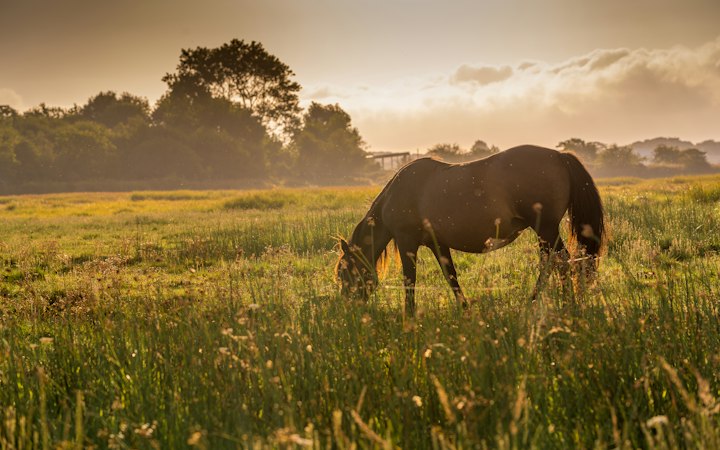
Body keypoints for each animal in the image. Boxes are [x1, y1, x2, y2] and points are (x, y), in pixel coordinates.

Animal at [335, 144, 604, 315]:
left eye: (343, 272)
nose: (347, 307)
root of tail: (559, 156)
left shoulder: (406, 241)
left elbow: (409, 280)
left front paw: (408, 316)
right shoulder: (437, 243)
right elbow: (451, 276)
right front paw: (465, 309)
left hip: (546, 229)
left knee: (560, 261)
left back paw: (559, 302)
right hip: (545, 232)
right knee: (552, 262)